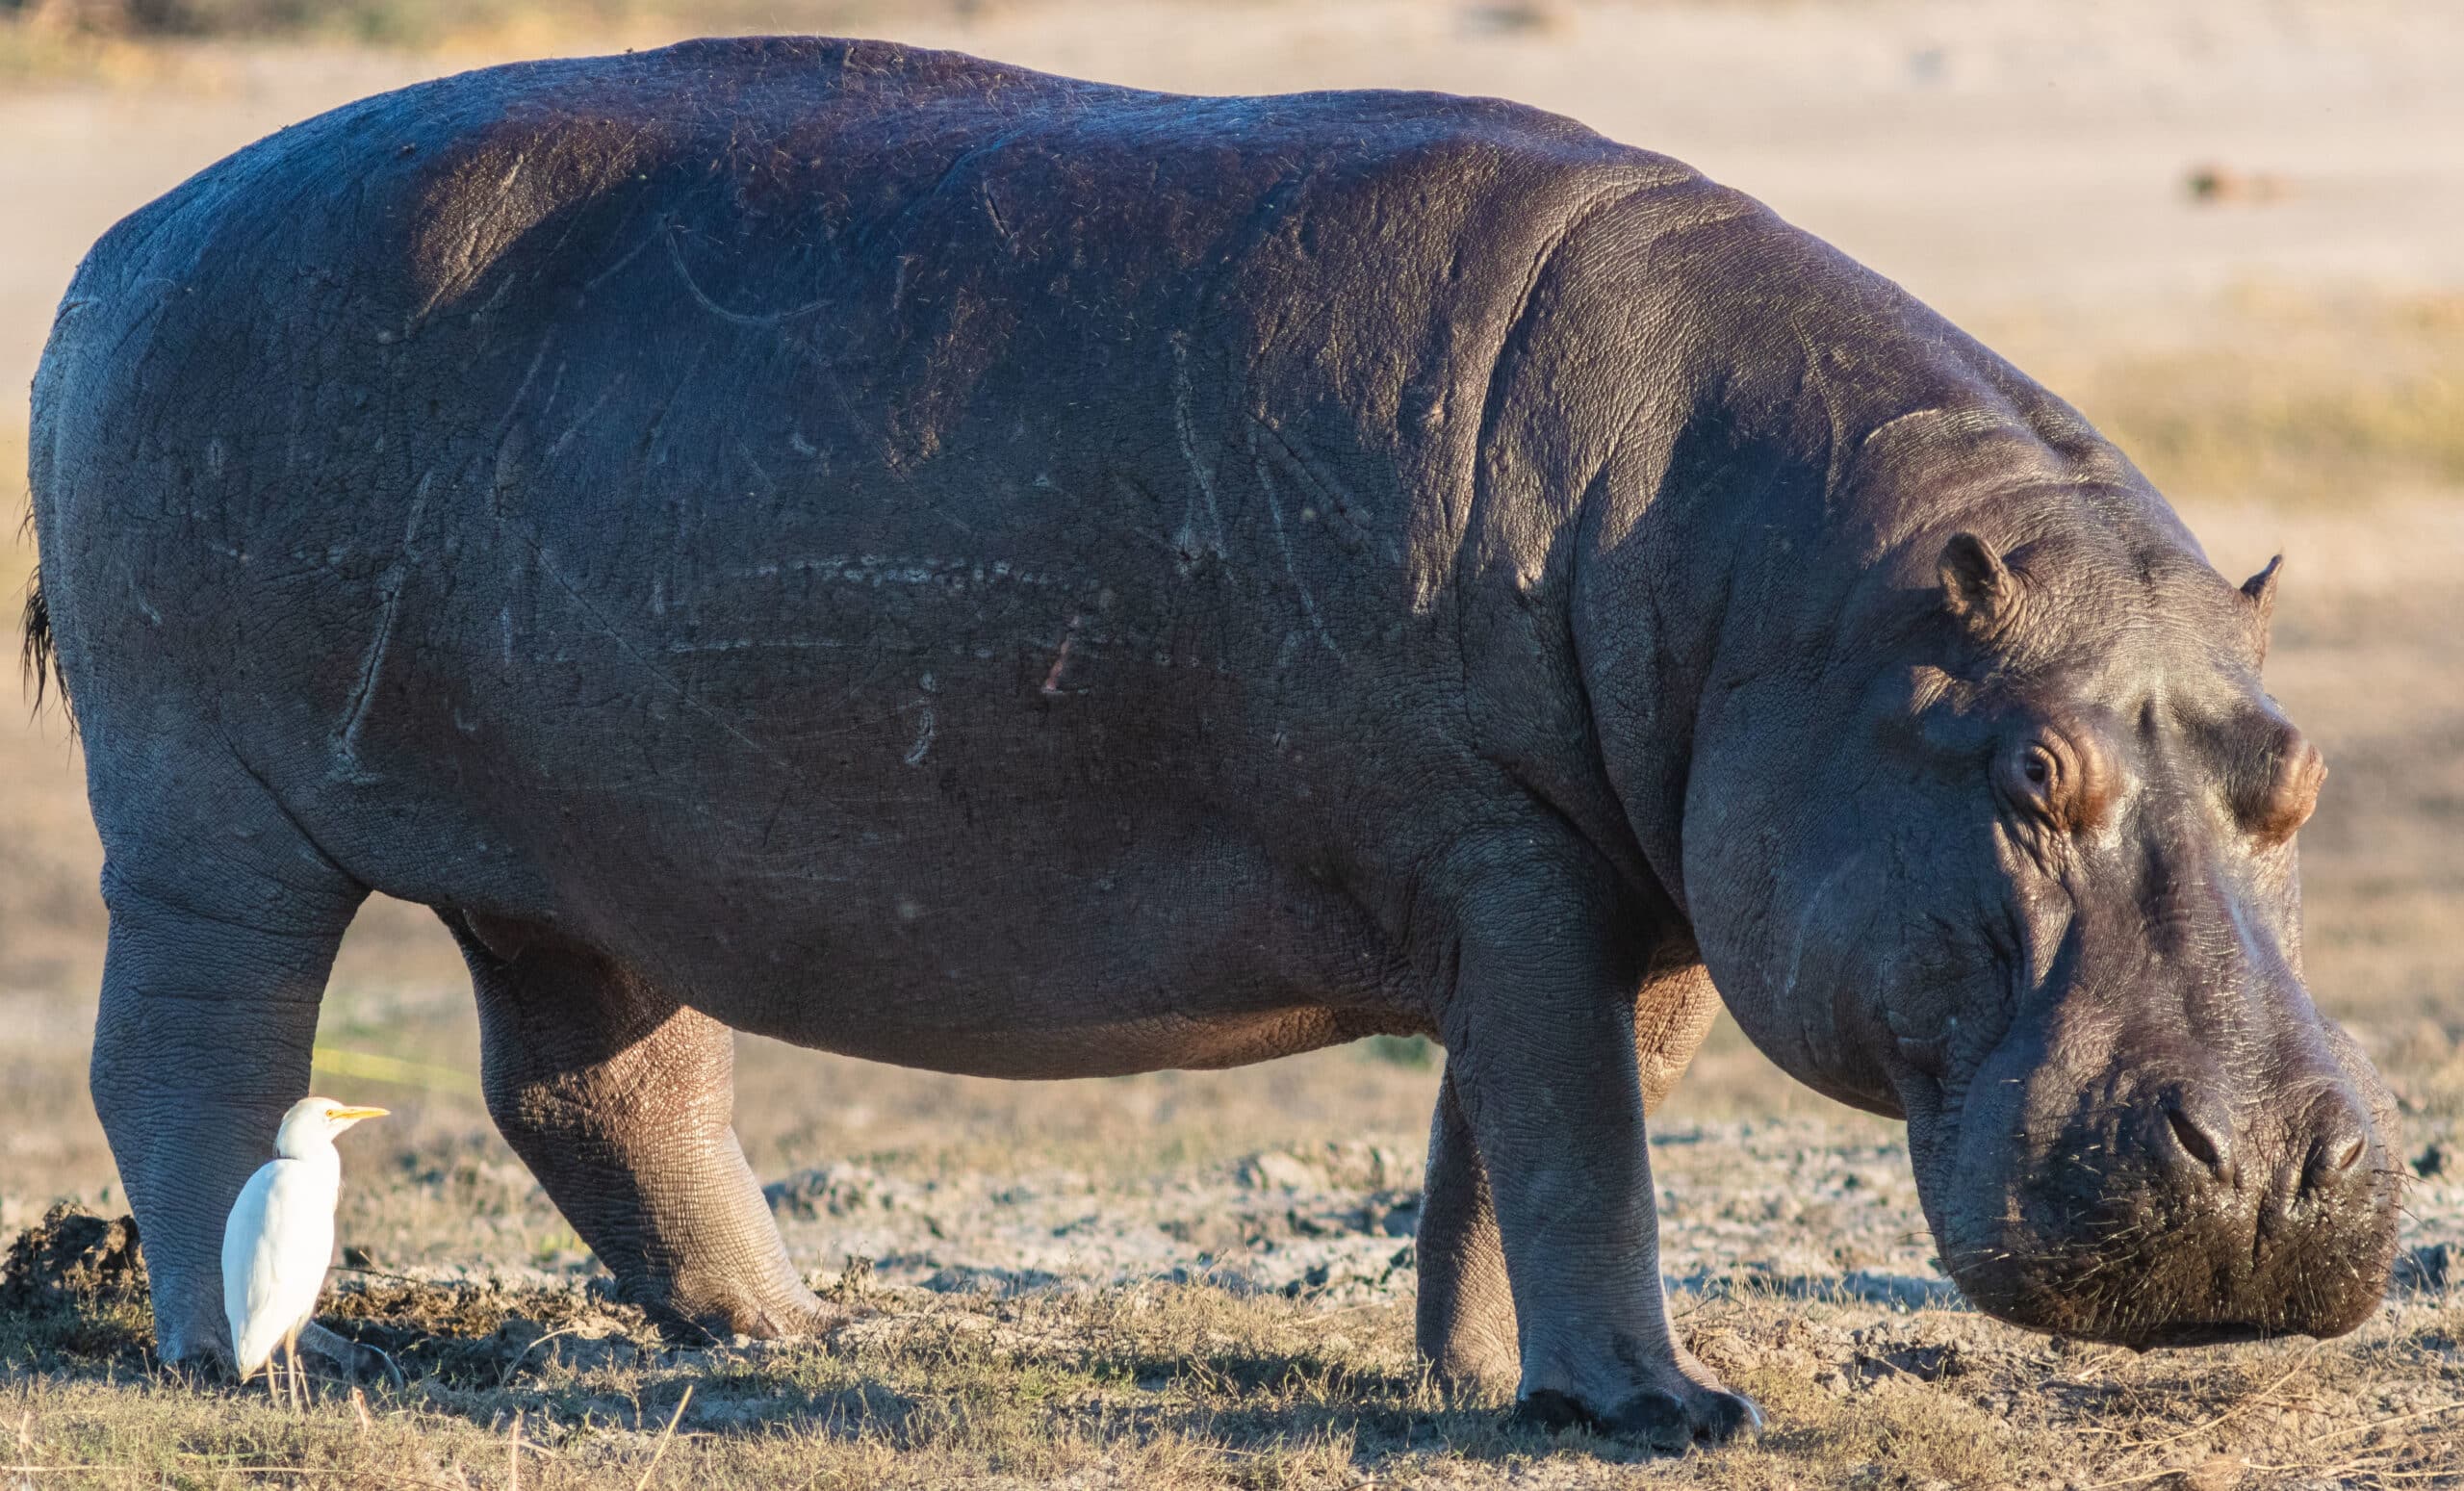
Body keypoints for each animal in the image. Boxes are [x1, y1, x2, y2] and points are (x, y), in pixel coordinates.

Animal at [24, 36, 2399, 1447]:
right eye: (2030, 779)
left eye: (2293, 774)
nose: (2276, 1183)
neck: (1797, 594)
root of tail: (120, 244)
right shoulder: (1518, 859)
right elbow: (1571, 1138)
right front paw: (1663, 1412)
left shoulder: (1621, 883)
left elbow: (1522, 1144)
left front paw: (1502, 1382)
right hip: (208, 810)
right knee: (188, 1056)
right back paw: (265, 1352)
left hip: (583, 848)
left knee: (594, 1077)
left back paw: (789, 1333)